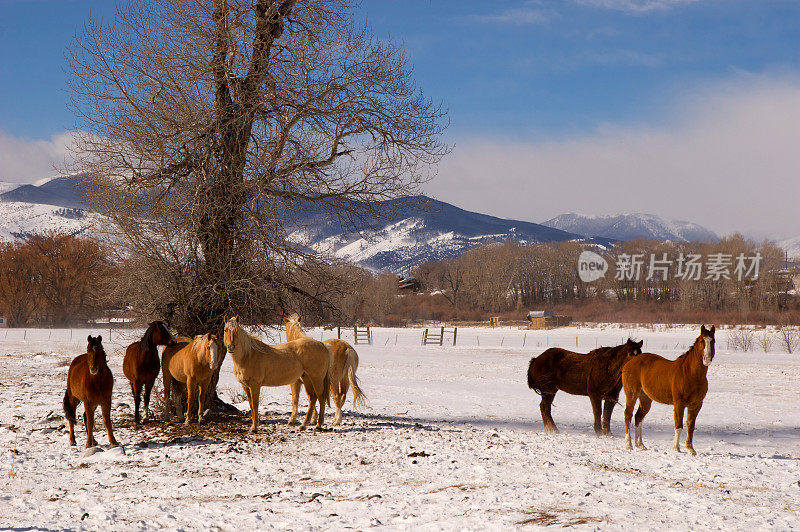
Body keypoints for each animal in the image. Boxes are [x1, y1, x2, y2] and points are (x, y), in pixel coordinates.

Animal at [620, 324, 716, 458]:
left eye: (713, 341)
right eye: (702, 341)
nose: (707, 359)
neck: (691, 374)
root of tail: (630, 362)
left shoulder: (696, 405)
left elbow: (690, 426)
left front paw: (691, 449)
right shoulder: (679, 404)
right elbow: (679, 425)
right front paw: (676, 448)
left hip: (645, 399)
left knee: (638, 417)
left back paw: (641, 445)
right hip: (632, 394)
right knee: (628, 415)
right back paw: (628, 444)